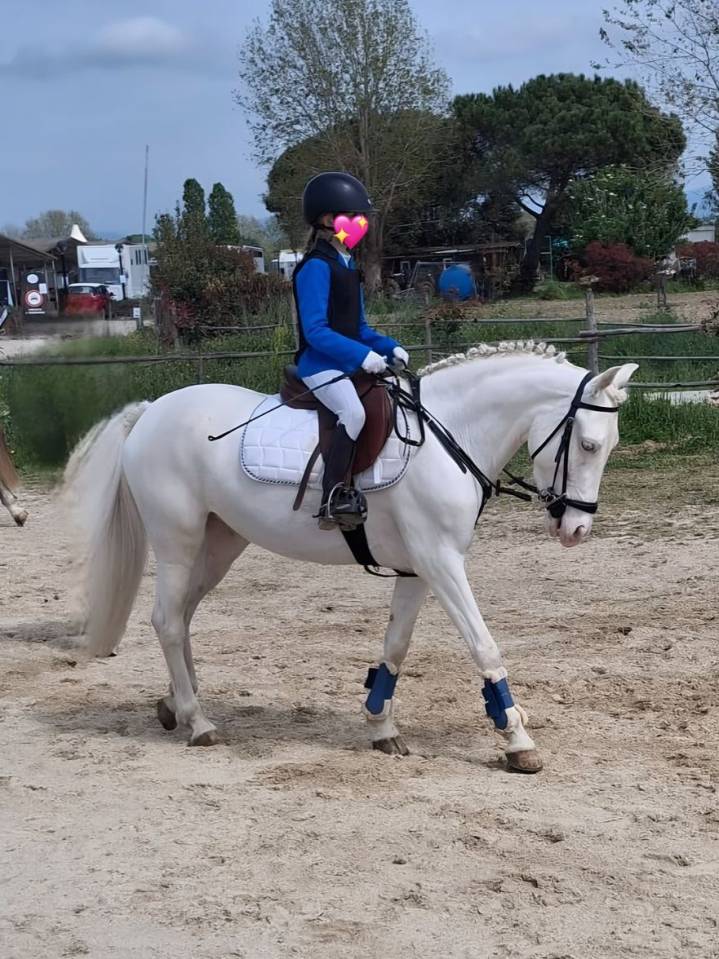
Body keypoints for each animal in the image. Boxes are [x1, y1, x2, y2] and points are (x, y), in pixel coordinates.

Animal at [63, 342, 638, 773]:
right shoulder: (442, 562)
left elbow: (396, 647)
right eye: (588, 445)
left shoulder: (419, 569)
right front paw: (517, 738)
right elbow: (484, 645)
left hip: (219, 544)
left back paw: (175, 706)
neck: (452, 433)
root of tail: (151, 411)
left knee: (180, 618)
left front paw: (381, 726)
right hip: (177, 542)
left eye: (608, 447)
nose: (576, 529)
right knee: (165, 619)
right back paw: (197, 721)